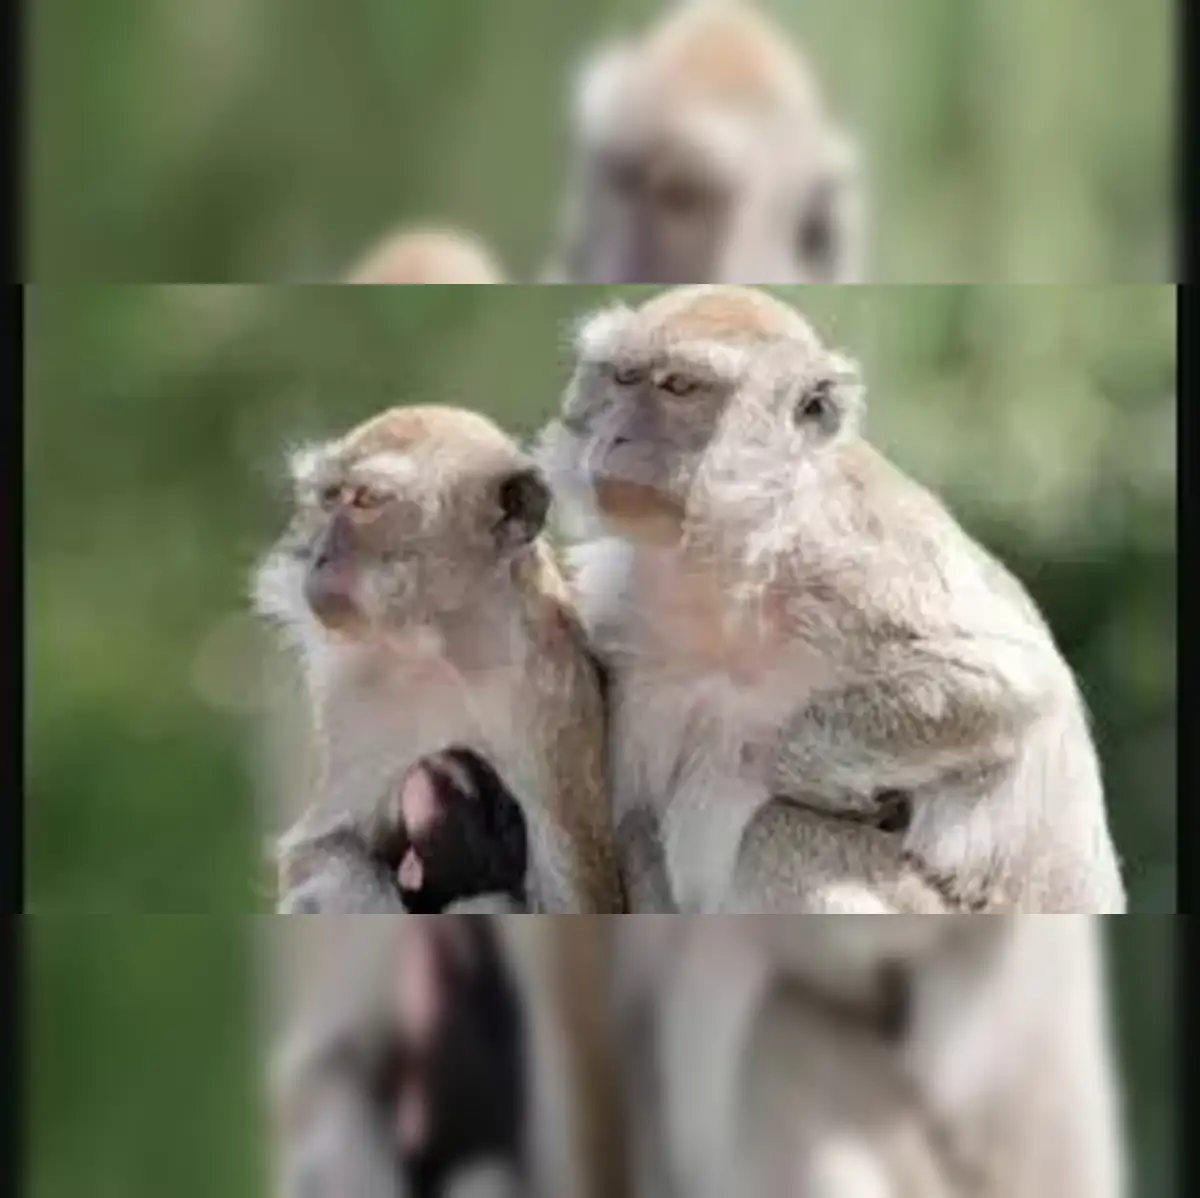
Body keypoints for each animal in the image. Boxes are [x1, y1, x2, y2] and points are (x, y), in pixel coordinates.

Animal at [534, 284, 1126, 916]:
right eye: (624, 378)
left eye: (679, 387)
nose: (617, 437)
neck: (728, 568)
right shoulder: (622, 616)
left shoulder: (857, 562)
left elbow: (1008, 685)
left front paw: (782, 766)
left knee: (782, 834)